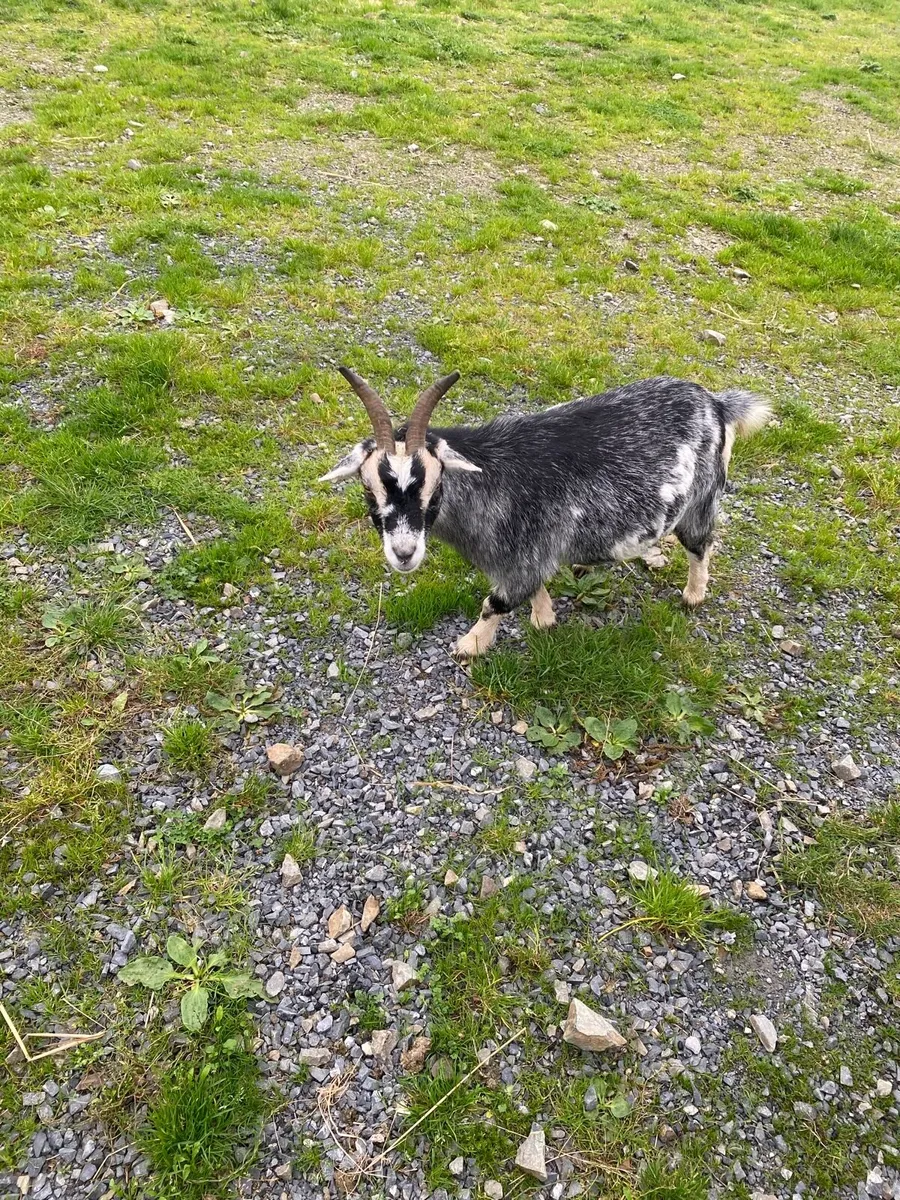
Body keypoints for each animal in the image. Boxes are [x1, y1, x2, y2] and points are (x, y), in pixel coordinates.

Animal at [321, 369, 771, 657]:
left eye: (435, 487)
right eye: (368, 488)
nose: (404, 553)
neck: (491, 476)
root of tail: (716, 403)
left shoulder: (522, 557)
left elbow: (495, 603)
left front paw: (469, 646)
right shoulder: (529, 553)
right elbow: (533, 588)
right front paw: (544, 618)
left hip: (701, 498)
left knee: (701, 544)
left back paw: (693, 595)